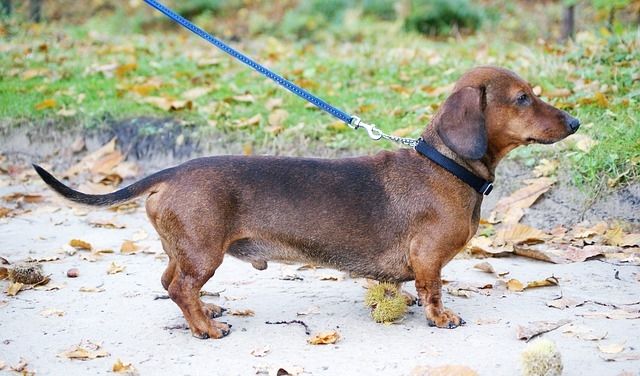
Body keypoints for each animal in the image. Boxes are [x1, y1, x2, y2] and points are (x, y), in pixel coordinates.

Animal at [32, 66, 576, 340]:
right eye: (523, 98)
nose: (574, 122)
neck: (445, 165)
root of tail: (173, 171)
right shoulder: (428, 259)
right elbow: (433, 290)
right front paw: (441, 319)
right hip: (203, 253)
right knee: (181, 288)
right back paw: (207, 326)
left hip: (185, 249)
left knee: (170, 283)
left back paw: (208, 312)